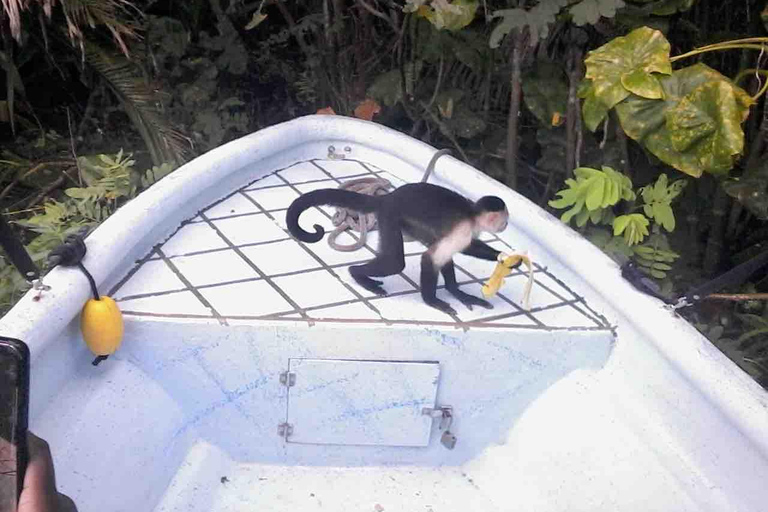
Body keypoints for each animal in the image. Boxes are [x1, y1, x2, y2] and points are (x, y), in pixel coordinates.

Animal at [286, 166, 517, 315]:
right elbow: (431, 258)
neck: (472, 215)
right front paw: (432, 301)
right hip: (390, 216)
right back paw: (357, 274)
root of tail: (387, 197)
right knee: (395, 262)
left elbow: (465, 249)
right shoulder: (462, 230)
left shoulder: (468, 233)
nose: (506, 225)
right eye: (505, 220)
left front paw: (505, 258)